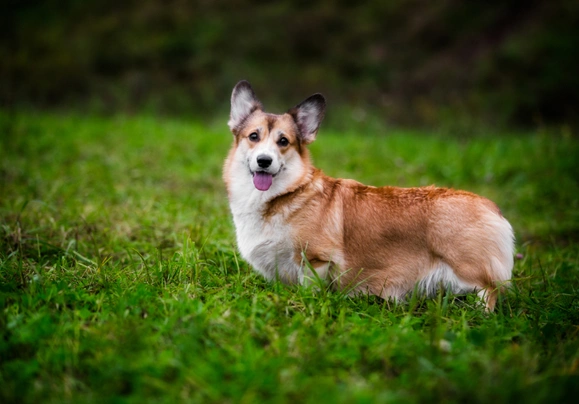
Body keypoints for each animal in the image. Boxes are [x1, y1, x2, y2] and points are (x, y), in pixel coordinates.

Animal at [224, 80, 516, 310]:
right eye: (253, 136)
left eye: (283, 141)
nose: (264, 161)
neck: (283, 195)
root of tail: (493, 209)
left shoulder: (316, 260)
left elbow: (310, 289)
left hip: (469, 270)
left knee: (490, 290)